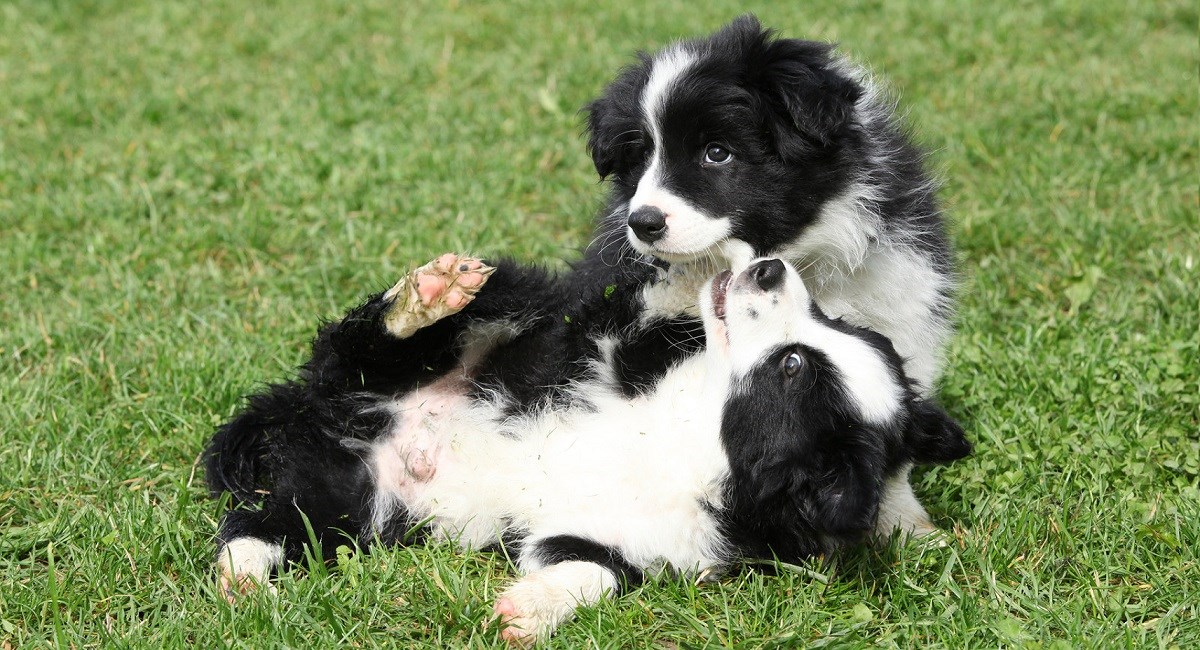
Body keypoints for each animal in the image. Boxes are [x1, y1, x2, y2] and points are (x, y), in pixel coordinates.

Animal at [211, 253, 969, 642]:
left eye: (791, 367)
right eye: (826, 326)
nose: (770, 266)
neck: (702, 429)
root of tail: (313, 405)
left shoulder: (644, 543)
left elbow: (594, 573)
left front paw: (528, 610)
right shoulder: (617, 343)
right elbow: (646, 304)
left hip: (354, 501)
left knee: (269, 522)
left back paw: (243, 579)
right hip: (454, 340)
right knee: (384, 341)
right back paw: (429, 295)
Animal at [576, 15, 960, 537]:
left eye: (717, 153)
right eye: (640, 157)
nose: (643, 222)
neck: (795, 255)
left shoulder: (897, 302)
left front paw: (908, 523)